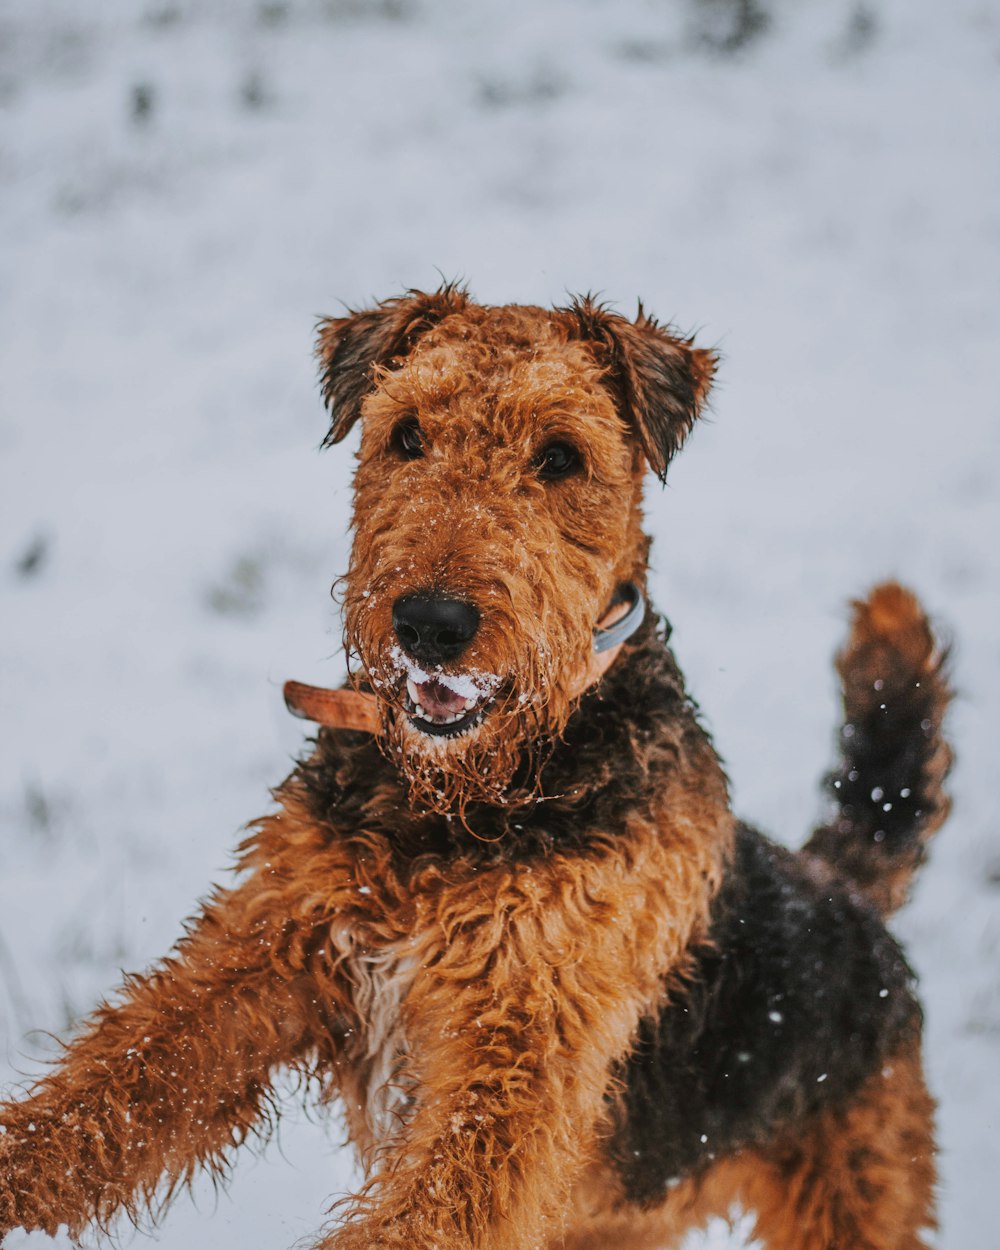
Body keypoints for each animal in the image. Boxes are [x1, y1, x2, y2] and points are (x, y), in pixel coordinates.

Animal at [1, 287, 955, 1245]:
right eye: (406, 435)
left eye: (561, 455)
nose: (431, 624)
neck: (457, 812)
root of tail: (843, 889)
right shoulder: (266, 950)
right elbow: (109, 1090)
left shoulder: (519, 1050)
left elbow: (430, 1209)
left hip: (850, 1188)